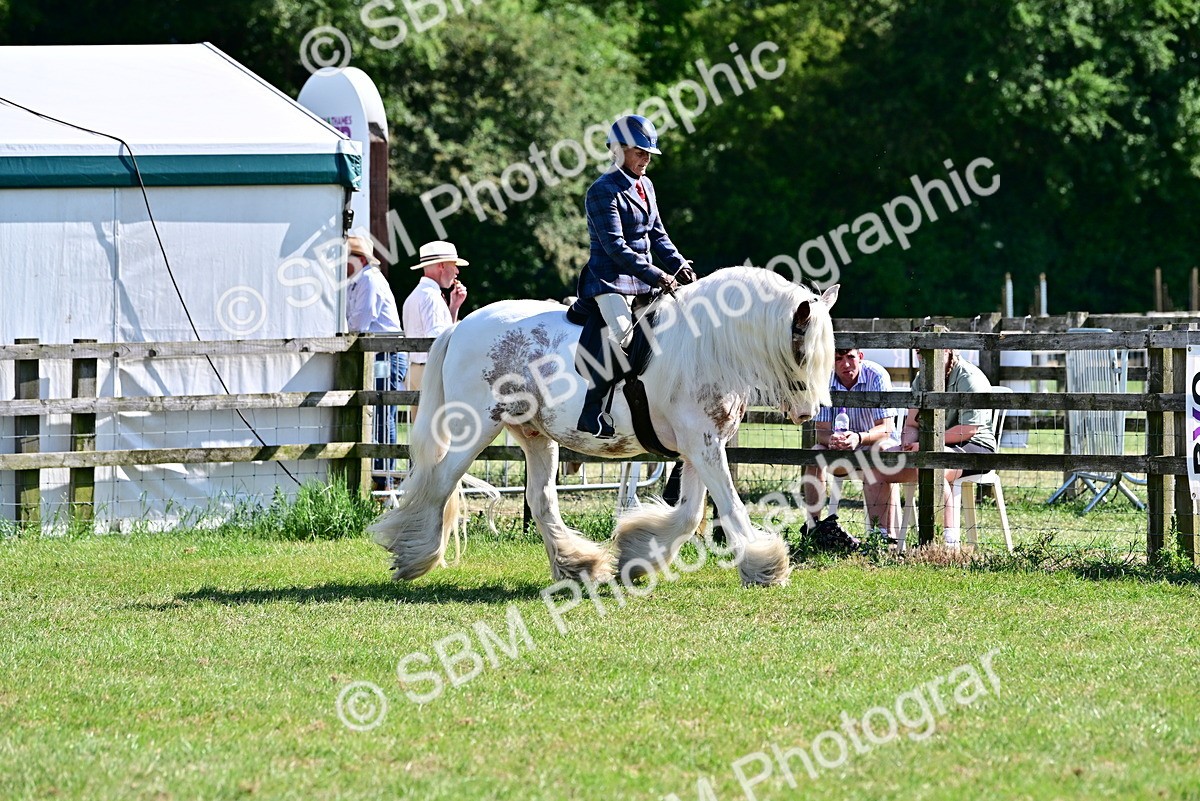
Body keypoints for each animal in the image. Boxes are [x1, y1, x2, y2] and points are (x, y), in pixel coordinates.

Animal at [370, 266, 838, 587]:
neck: (707, 343)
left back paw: (577, 564)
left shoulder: (698, 446)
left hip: (535, 435)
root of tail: (460, 326)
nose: (808, 413)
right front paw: (765, 565)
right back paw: (413, 555)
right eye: (802, 350)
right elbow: (729, 506)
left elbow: (690, 513)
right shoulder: (703, 445)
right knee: (440, 483)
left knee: (539, 499)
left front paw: (637, 552)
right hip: (476, 428)